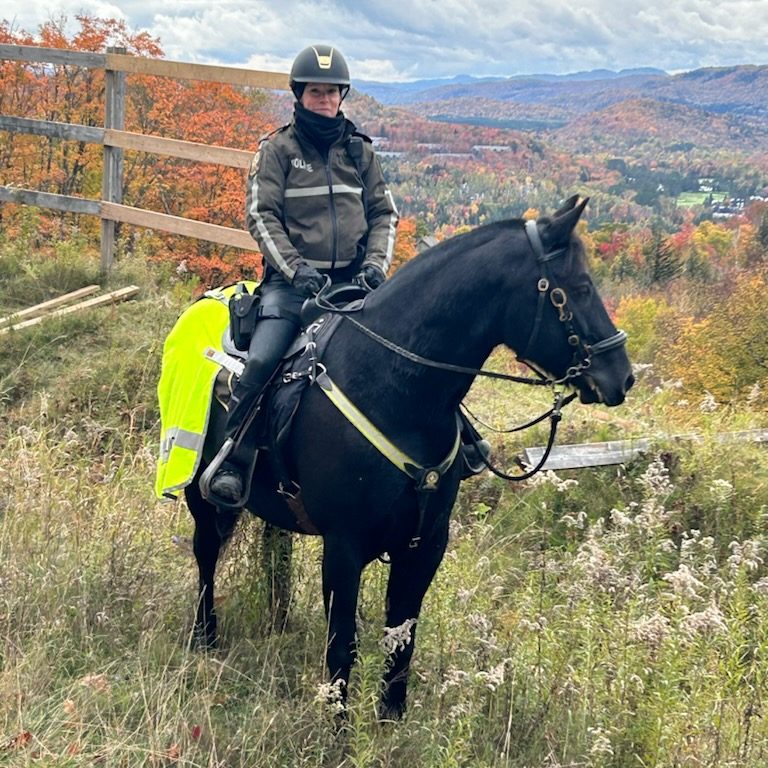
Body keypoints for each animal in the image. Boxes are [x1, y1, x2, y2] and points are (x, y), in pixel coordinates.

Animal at [183, 194, 632, 720]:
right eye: (579, 288)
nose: (621, 375)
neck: (394, 385)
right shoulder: (344, 545)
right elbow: (343, 643)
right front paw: (339, 725)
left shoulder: (426, 543)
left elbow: (402, 640)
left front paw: (390, 718)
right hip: (201, 496)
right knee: (206, 555)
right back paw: (205, 637)